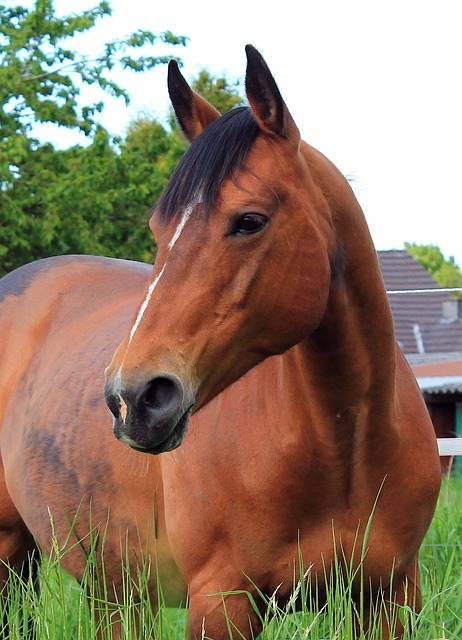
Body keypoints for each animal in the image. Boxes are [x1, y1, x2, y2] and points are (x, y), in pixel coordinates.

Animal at [0, 46, 441, 639]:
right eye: (159, 230)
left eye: (249, 221)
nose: (133, 399)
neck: (341, 447)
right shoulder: (222, 602)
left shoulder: (389, 598)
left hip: (109, 588)